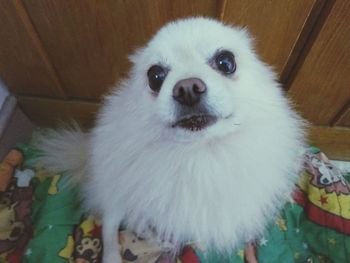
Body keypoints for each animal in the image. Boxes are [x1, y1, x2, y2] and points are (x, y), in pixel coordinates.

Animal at [34, 17, 304, 262]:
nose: (187, 88)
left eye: (226, 62)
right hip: (118, 188)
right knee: (112, 221)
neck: (200, 154)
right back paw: (115, 255)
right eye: (155, 76)